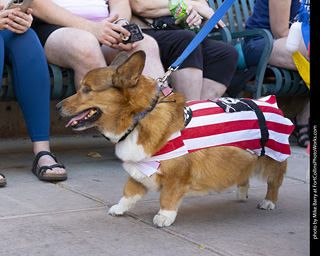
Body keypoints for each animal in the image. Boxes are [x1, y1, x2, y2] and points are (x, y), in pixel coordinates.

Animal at [56, 51, 292, 227]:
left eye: (86, 89)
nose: (57, 107)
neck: (139, 117)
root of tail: (268, 102)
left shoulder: (176, 175)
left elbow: (167, 197)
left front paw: (164, 217)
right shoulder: (139, 170)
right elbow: (128, 193)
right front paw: (119, 209)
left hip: (273, 158)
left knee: (275, 182)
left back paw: (268, 202)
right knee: (244, 173)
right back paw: (242, 192)